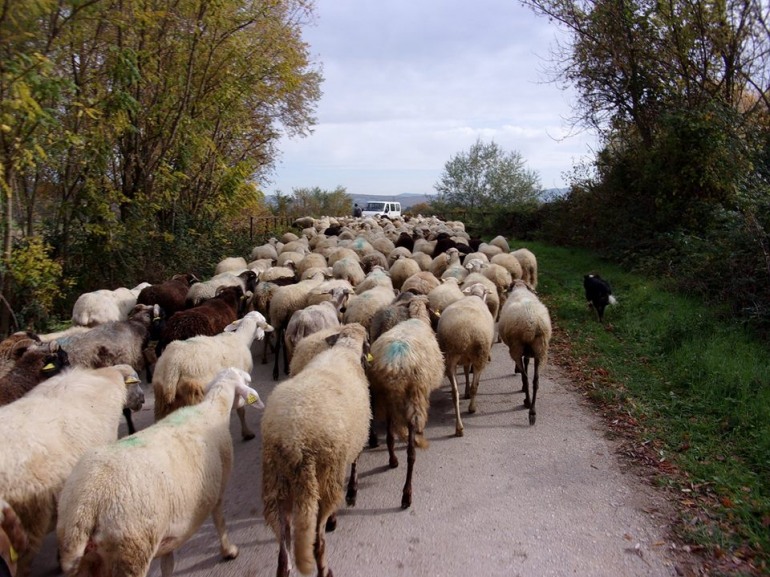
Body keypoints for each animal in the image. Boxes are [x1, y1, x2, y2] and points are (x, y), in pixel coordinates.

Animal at [55, 366, 262, 576]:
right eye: (247, 381)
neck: (213, 410)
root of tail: (86, 507)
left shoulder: (169, 533)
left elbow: (168, 563)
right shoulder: (218, 488)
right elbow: (220, 521)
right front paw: (229, 551)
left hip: (89, 559)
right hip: (132, 550)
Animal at [151, 310, 272, 440]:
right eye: (263, 322)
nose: (261, 337)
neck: (242, 338)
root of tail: (173, 365)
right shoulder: (239, 378)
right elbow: (241, 411)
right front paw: (247, 433)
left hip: (160, 397)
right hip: (195, 393)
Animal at [364, 296, 440, 508]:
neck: (418, 317)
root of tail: (395, 363)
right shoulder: (421, 393)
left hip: (385, 396)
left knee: (390, 435)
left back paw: (391, 459)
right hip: (412, 400)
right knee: (411, 453)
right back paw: (407, 494)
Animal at [498, 280, 552, 424]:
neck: (520, 288)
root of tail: (531, 323)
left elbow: (524, 368)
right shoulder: (529, 352)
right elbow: (527, 362)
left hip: (516, 348)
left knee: (526, 378)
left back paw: (527, 403)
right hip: (540, 350)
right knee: (535, 381)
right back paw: (533, 411)